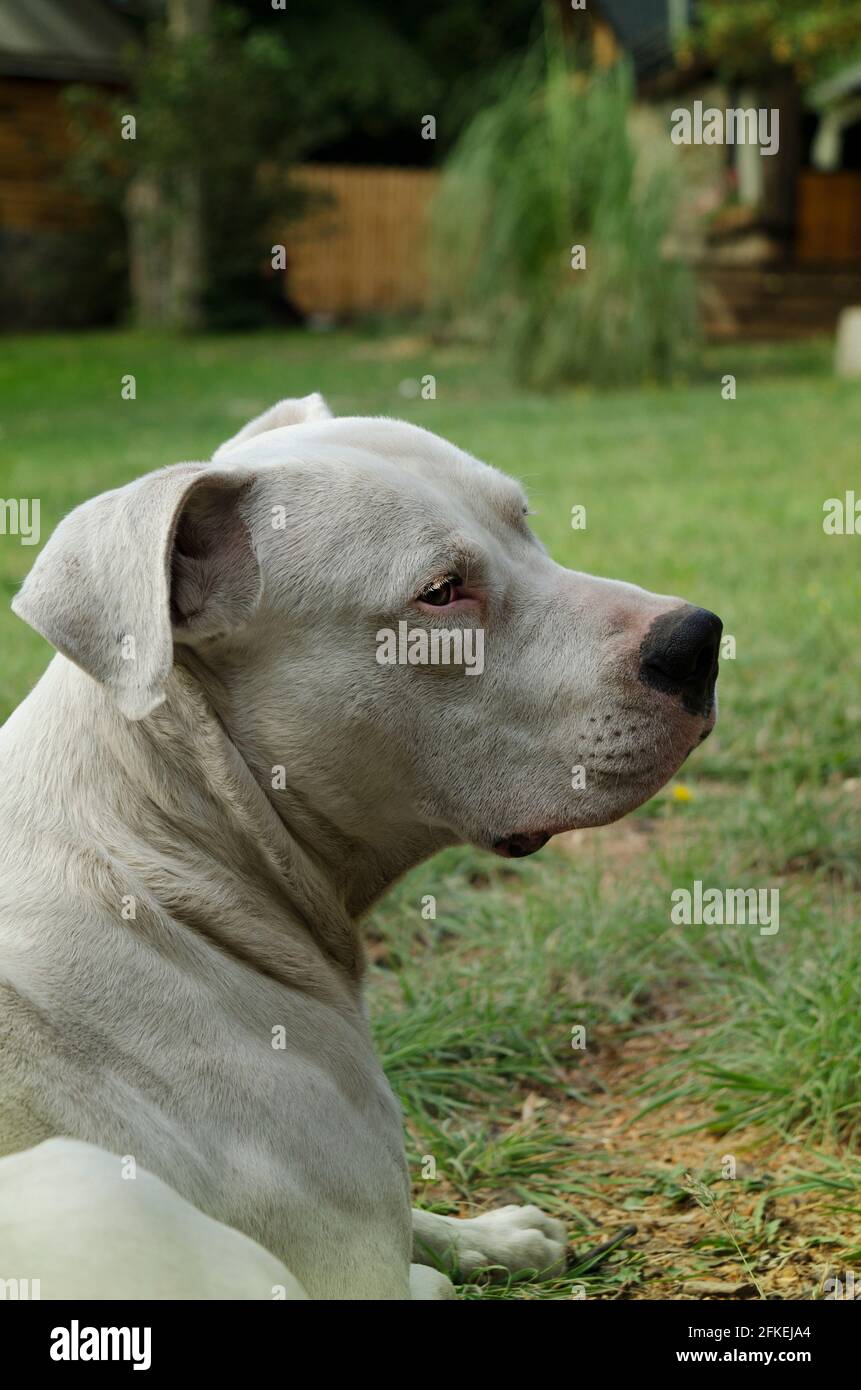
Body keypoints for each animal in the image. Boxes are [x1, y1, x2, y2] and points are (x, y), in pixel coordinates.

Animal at [0, 394, 717, 1301]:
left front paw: (495, 1236)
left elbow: (421, 1222)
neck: (166, 852)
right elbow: (413, 1272)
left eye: (523, 521)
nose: (697, 639)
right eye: (440, 593)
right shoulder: (354, 1267)